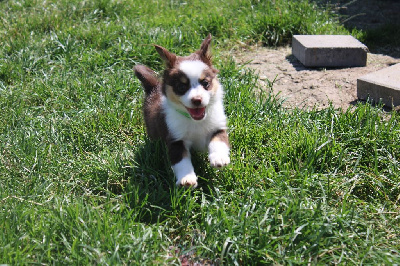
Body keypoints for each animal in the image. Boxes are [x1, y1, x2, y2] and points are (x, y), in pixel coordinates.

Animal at [134, 34, 228, 188]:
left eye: (205, 83)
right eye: (181, 87)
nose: (197, 100)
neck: (195, 121)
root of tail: (153, 87)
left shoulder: (218, 126)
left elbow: (219, 141)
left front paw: (218, 158)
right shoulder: (175, 139)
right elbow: (181, 161)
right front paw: (187, 179)